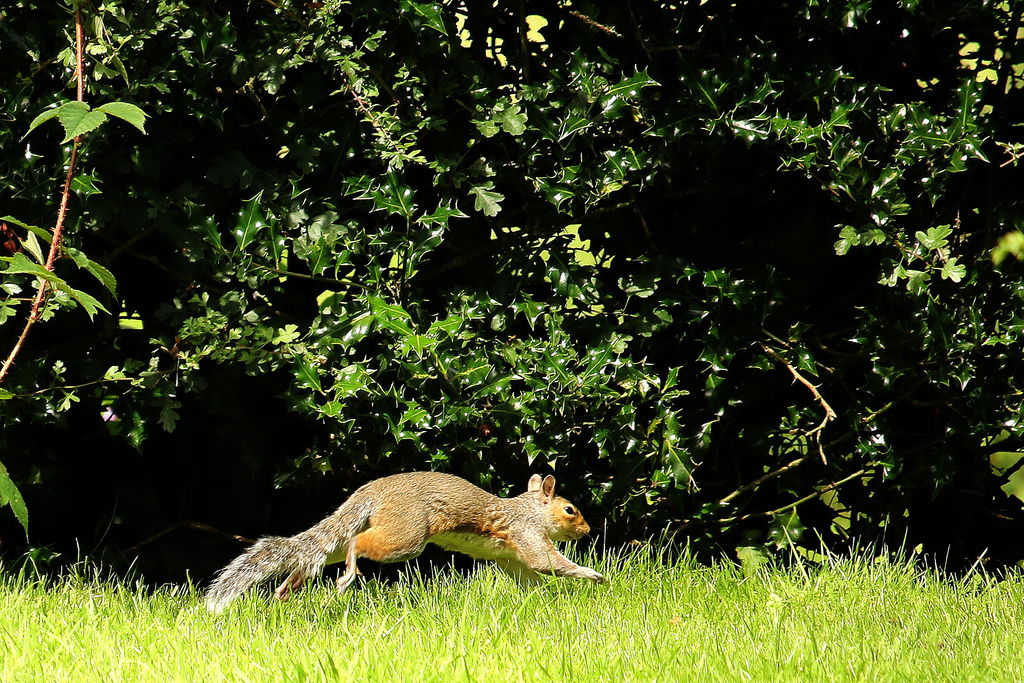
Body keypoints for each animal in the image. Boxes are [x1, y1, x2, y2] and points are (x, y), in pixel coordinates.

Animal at [206, 473, 606, 610]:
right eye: (570, 510)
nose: (587, 531)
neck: (528, 510)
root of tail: (371, 494)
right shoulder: (527, 535)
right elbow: (550, 564)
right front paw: (593, 575)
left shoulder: (510, 557)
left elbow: (529, 577)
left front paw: (542, 598)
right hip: (407, 537)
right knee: (359, 544)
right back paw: (348, 574)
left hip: (341, 544)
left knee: (313, 554)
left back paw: (289, 587)